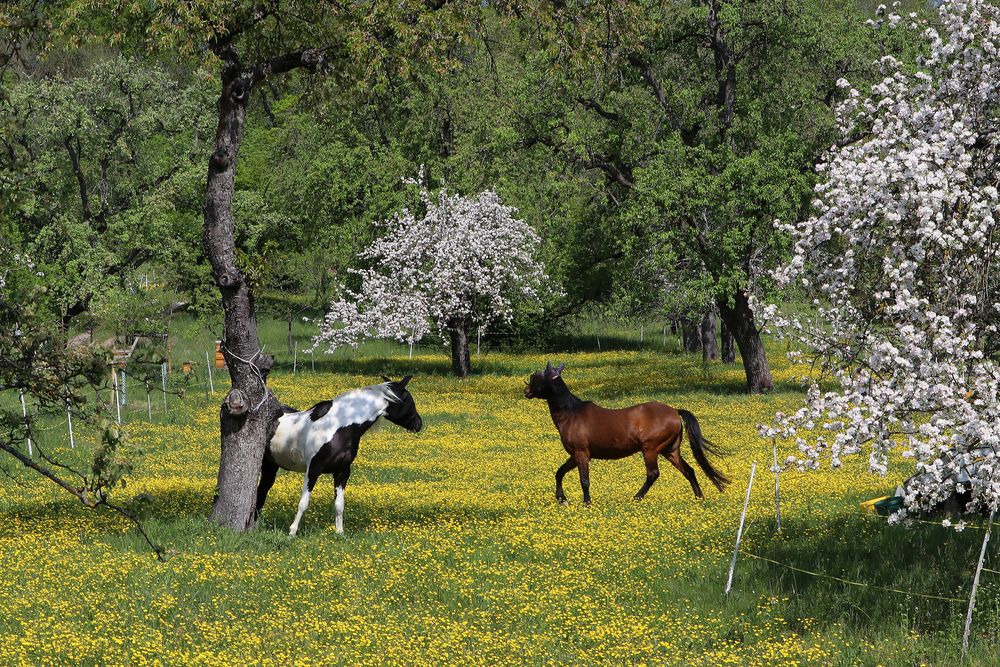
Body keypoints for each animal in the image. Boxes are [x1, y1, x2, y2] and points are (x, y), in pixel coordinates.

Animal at [258, 376, 422, 536]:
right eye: (409, 401)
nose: (419, 423)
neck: (337, 427)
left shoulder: (342, 472)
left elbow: (339, 505)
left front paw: (340, 532)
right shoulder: (313, 470)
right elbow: (303, 502)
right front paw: (292, 531)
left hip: (271, 465)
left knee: (262, 490)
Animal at [524, 362, 728, 504]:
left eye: (536, 378)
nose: (526, 390)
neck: (572, 413)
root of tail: (675, 411)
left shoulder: (582, 454)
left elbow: (584, 480)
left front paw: (587, 503)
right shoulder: (574, 455)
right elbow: (559, 472)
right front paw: (562, 499)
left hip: (650, 449)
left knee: (653, 474)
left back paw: (636, 497)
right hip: (670, 450)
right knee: (689, 470)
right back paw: (699, 498)